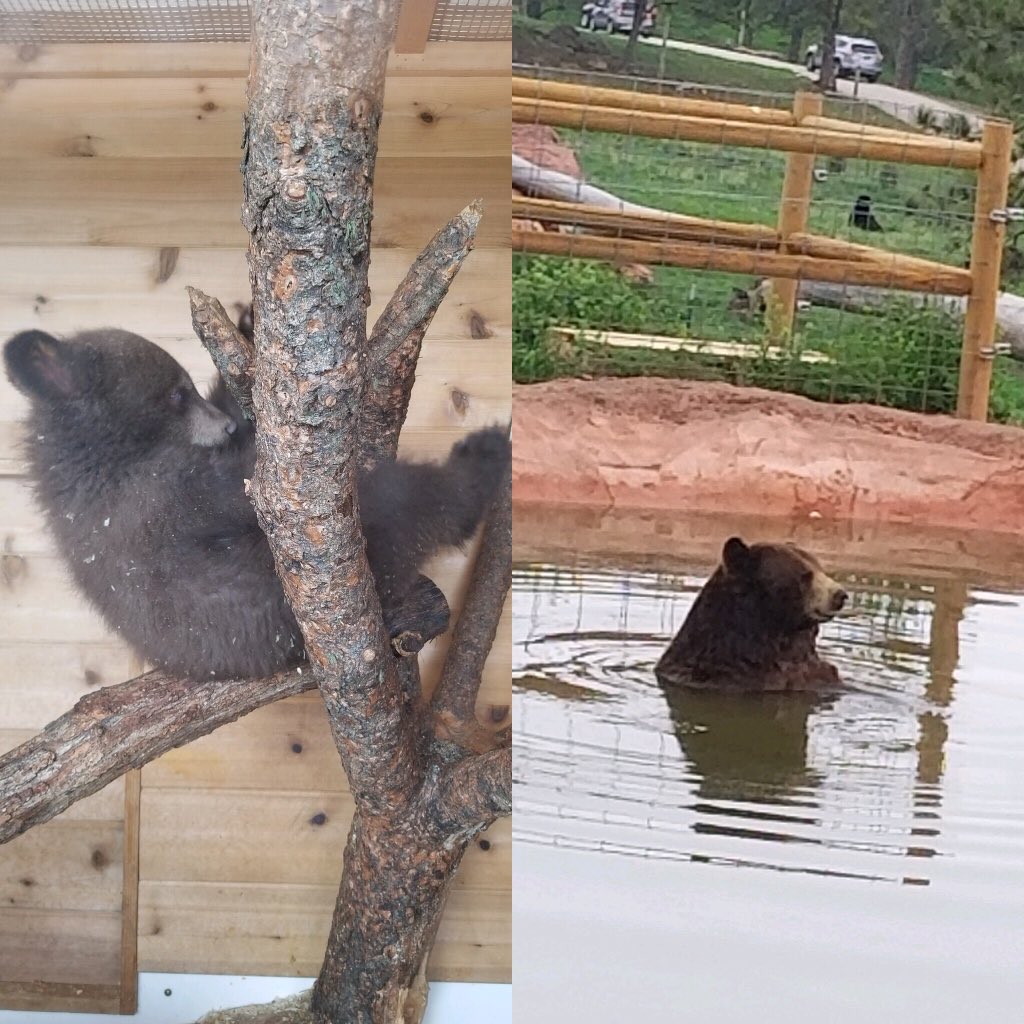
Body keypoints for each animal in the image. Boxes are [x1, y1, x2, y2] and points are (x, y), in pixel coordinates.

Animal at [3, 327, 509, 680]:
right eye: (177, 393)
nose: (226, 427)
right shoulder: (161, 492)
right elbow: (252, 490)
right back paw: (481, 459)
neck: (107, 458)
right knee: (409, 499)